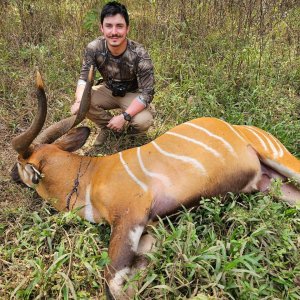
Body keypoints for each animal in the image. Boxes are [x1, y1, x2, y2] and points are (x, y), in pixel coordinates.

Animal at [11, 68, 300, 300]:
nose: (12, 176)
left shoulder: (131, 216)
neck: (90, 177)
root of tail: (243, 129)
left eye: (20, 165)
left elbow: (114, 284)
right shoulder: (151, 226)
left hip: (283, 160)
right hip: (271, 185)